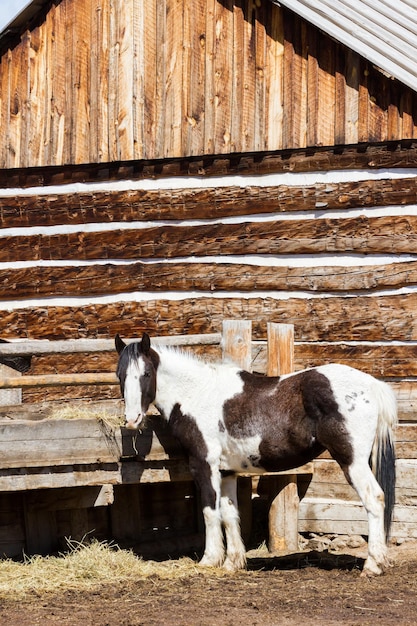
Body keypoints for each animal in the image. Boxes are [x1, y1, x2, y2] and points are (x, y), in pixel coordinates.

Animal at [114, 332, 396, 576]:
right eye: (120, 375)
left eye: (146, 374)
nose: (132, 419)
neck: (198, 394)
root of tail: (371, 384)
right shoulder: (227, 471)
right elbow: (229, 513)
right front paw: (233, 563)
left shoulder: (204, 465)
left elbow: (210, 510)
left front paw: (210, 560)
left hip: (352, 461)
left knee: (374, 499)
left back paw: (373, 565)